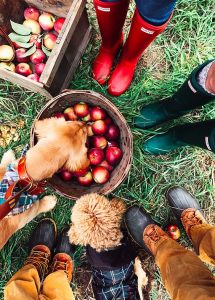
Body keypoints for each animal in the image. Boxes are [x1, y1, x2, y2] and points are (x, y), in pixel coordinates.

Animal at [0, 116, 89, 248]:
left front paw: (8, 155)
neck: (24, 177)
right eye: (84, 135)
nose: (85, 123)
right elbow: (38, 205)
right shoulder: (27, 214)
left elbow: (3, 166)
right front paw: (49, 201)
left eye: (71, 121)